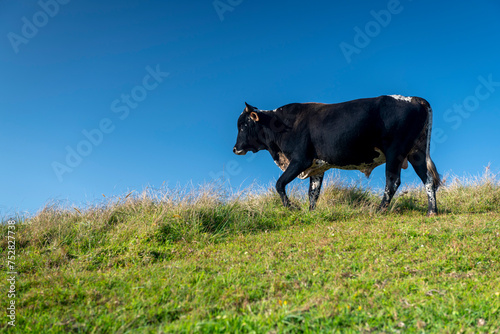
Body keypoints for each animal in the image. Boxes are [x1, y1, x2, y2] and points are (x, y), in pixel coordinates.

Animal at [232, 95, 440, 215]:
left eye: (243, 125)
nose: (235, 149)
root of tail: (413, 98)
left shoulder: (300, 160)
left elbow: (279, 184)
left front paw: (292, 208)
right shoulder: (317, 168)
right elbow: (313, 193)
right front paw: (311, 213)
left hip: (395, 152)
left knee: (393, 181)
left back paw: (380, 210)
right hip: (416, 152)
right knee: (428, 179)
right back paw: (432, 211)